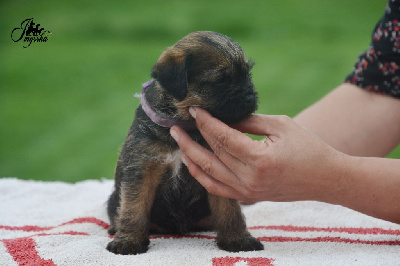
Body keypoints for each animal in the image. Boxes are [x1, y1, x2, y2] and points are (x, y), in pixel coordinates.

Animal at [106, 30, 262, 255]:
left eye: (247, 75)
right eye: (220, 81)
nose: (250, 97)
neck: (184, 125)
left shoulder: (218, 171)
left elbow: (229, 209)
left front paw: (237, 239)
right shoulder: (142, 167)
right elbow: (133, 207)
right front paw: (128, 240)